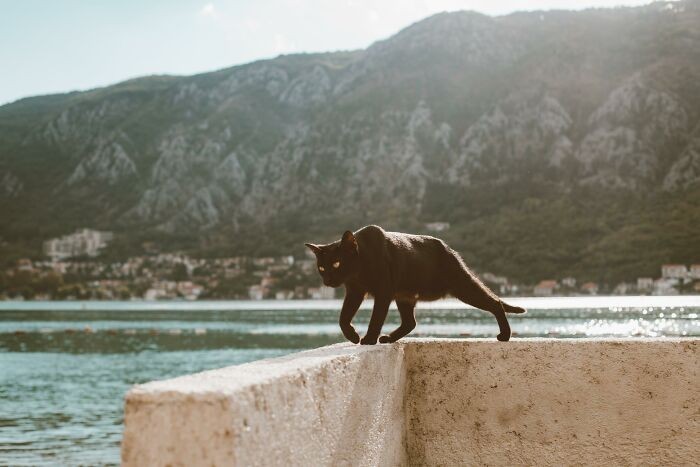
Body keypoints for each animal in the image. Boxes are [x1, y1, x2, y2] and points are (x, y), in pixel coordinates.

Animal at [306, 225, 524, 346]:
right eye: (321, 268)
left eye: (336, 263)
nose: (327, 281)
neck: (359, 271)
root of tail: (449, 249)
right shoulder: (354, 291)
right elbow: (343, 317)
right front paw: (352, 336)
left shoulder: (383, 292)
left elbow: (376, 318)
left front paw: (368, 339)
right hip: (405, 296)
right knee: (410, 322)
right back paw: (389, 338)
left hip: (463, 287)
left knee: (495, 302)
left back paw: (505, 335)